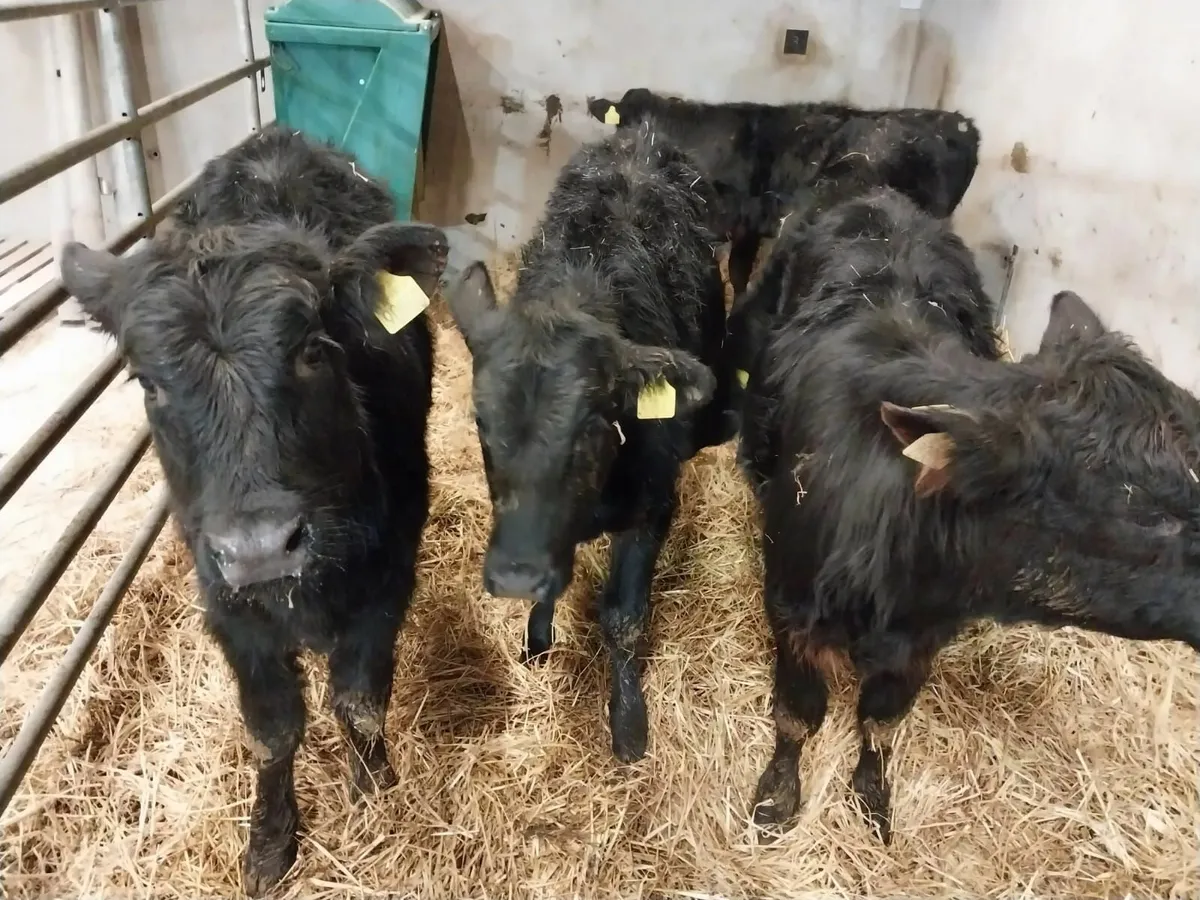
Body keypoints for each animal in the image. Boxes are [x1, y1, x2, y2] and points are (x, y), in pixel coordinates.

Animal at [58, 126, 448, 895]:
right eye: (147, 382)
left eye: (313, 351)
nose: (263, 547)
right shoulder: (228, 603)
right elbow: (273, 730)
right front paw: (270, 842)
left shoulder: (390, 575)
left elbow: (360, 702)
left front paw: (374, 793)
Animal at [445, 120, 729, 763]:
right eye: (482, 424)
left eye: (593, 426)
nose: (515, 576)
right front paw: (537, 640)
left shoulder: (654, 506)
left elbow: (623, 616)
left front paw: (627, 722)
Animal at [740, 186, 1200, 845]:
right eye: (1142, 511)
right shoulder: (790, 610)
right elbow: (798, 715)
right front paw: (777, 800)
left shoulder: (922, 640)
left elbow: (881, 720)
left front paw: (873, 797)